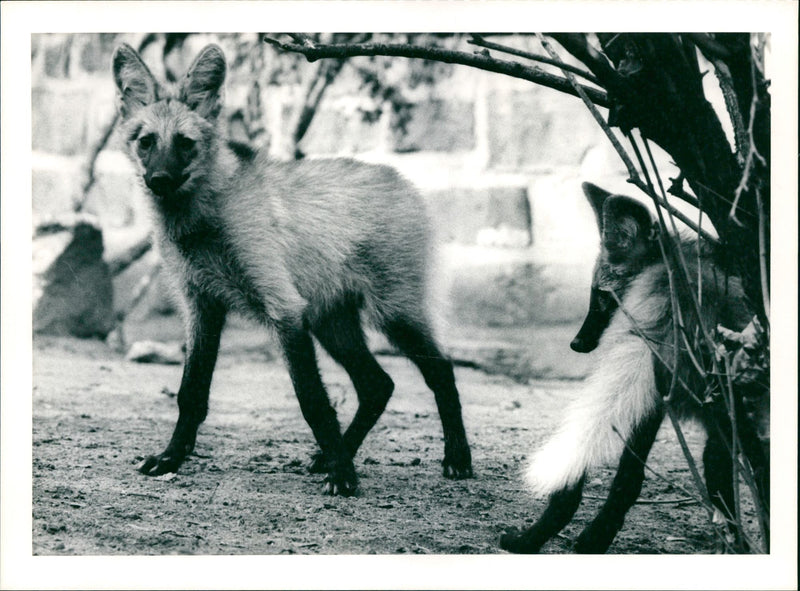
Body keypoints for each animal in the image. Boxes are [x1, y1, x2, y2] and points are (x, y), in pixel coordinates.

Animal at [112, 43, 472, 496]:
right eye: (146, 142)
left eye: (184, 143)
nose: (158, 179)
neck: (204, 222)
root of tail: (403, 181)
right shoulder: (202, 304)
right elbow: (190, 393)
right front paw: (171, 458)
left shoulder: (284, 309)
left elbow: (312, 402)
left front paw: (343, 477)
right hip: (331, 322)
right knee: (378, 385)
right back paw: (333, 456)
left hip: (392, 313)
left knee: (441, 368)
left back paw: (457, 458)